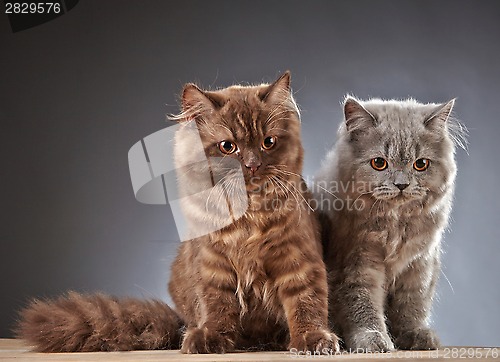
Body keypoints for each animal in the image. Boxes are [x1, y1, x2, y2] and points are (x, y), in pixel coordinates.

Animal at [15, 72, 338, 354]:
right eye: (228, 146)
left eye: (267, 142)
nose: (252, 164)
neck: (247, 216)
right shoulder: (211, 264)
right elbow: (216, 305)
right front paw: (211, 338)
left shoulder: (298, 258)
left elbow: (306, 302)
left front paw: (313, 339)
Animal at [314, 95, 466, 350]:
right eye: (379, 163)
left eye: (420, 164)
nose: (401, 184)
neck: (395, 224)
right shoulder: (356, 262)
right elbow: (362, 305)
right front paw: (373, 339)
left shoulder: (419, 263)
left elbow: (411, 305)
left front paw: (413, 335)